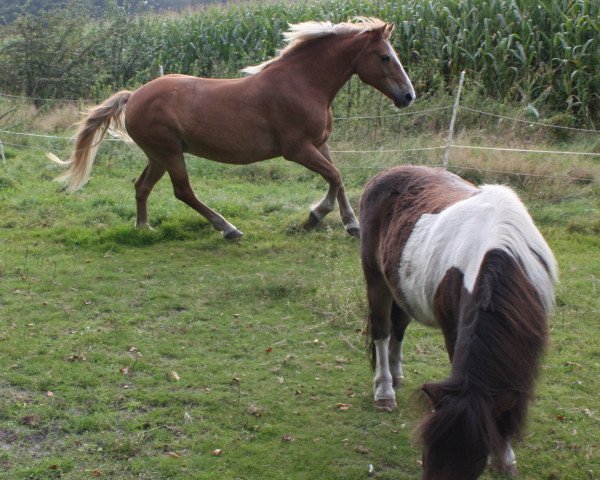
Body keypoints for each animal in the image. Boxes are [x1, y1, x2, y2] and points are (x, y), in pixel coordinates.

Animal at [47, 17, 414, 239]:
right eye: (385, 57)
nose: (408, 96)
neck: (303, 84)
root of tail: (134, 94)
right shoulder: (297, 150)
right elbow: (335, 177)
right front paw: (336, 220)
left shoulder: (319, 144)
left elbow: (336, 178)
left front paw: (327, 218)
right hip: (169, 152)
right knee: (183, 191)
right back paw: (227, 228)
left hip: (158, 155)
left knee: (142, 186)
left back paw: (144, 228)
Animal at [356, 166, 556, 480]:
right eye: (426, 449)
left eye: (476, 456)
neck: (499, 251)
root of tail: (387, 173)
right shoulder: (454, 330)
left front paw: (505, 457)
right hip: (376, 278)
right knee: (382, 330)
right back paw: (385, 391)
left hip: (402, 286)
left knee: (399, 327)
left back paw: (397, 376)